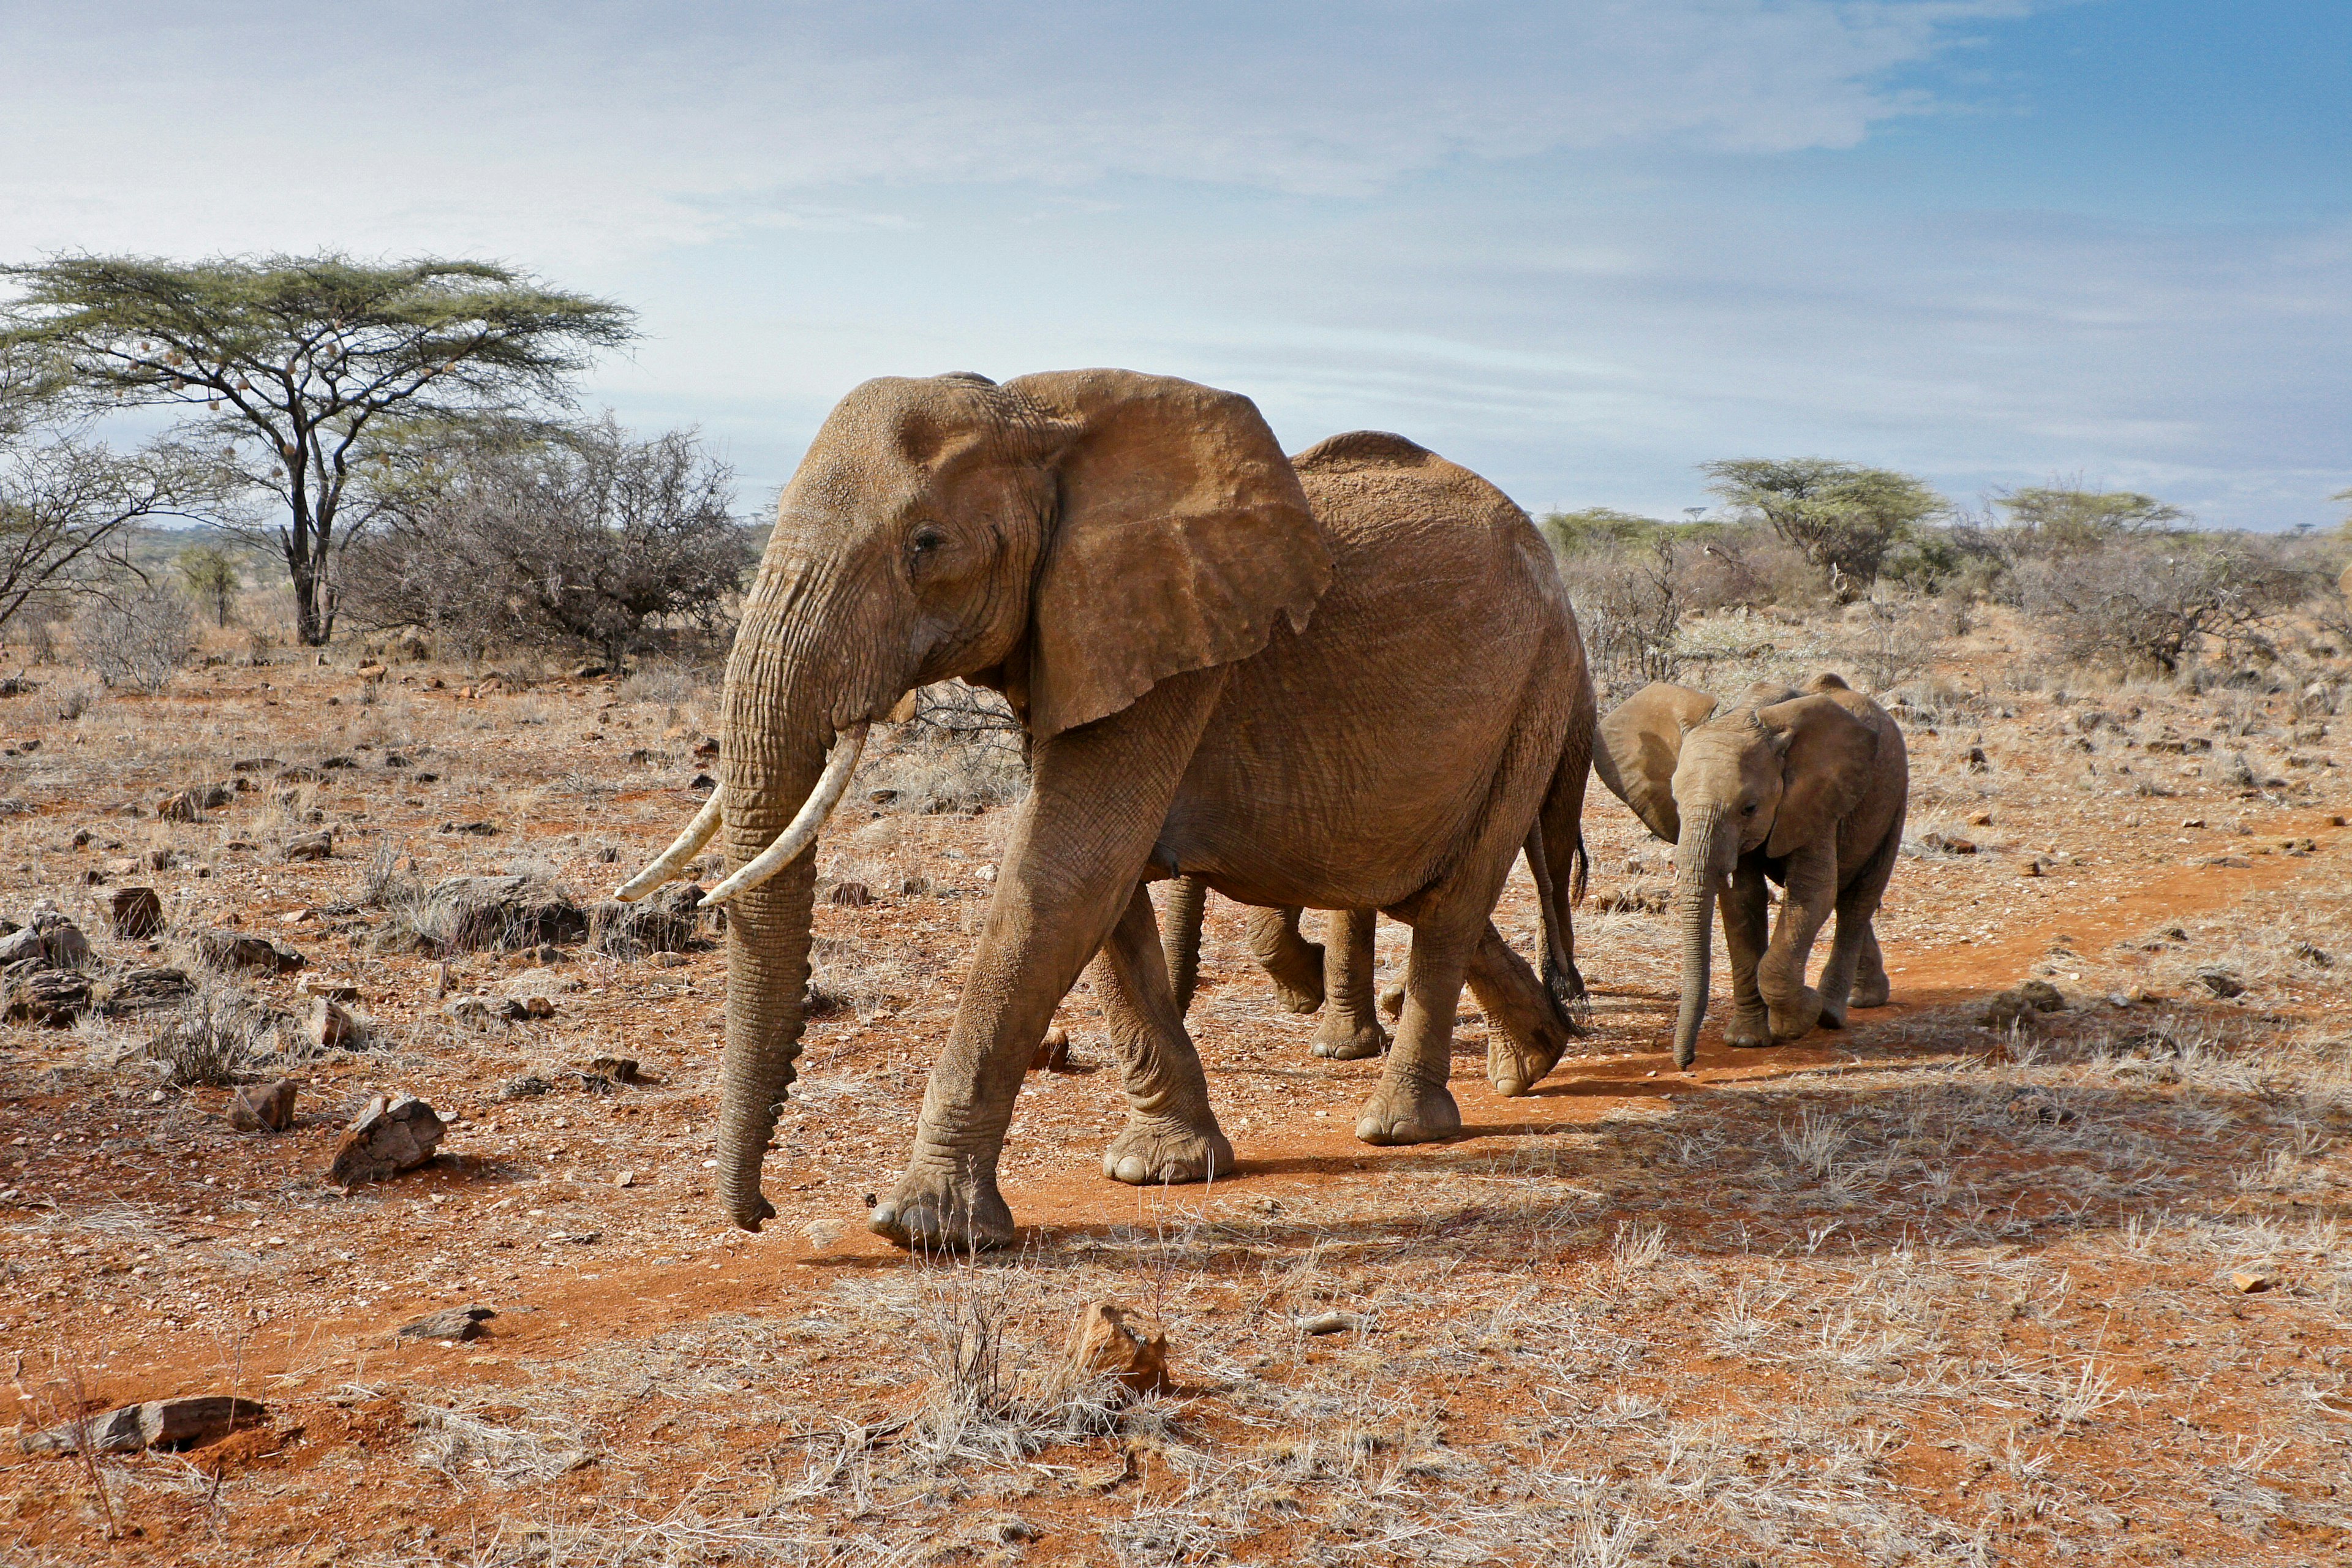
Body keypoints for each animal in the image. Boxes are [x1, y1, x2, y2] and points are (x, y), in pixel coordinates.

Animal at [616, 369, 1589, 1250]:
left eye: (926, 543)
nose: (760, 1216)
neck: (1034, 415)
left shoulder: (1173, 643)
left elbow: (1067, 870)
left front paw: (921, 1227)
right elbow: (1103, 887)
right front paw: (1162, 1169)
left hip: (1542, 678)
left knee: (1453, 897)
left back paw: (1403, 1125)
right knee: (1420, 890)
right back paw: (1534, 1057)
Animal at [1589, 672, 1900, 1067]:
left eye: (1749, 808)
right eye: (1676, 802)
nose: (1685, 1063)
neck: (1745, 716)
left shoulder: (1815, 799)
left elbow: (1813, 891)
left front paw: (1801, 1016)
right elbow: (1742, 900)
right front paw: (1747, 1041)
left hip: (1893, 799)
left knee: (1857, 899)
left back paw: (1833, 1012)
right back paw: (1864, 998)